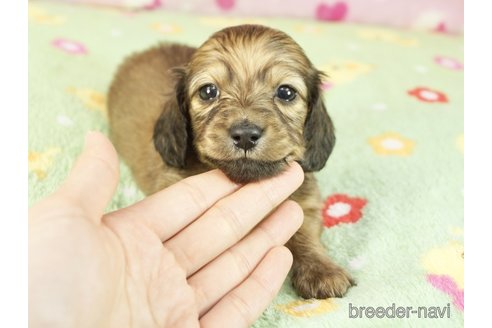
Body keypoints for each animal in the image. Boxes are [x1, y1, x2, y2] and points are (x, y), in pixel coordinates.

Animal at [107, 24, 354, 298]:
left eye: (286, 92)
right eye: (208, 91)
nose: (245, 135)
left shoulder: (305, 201)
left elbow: (304, 232)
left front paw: (321, 270)